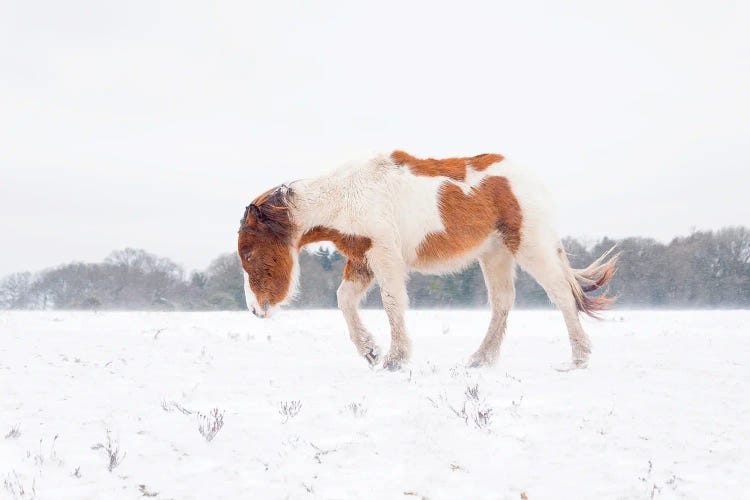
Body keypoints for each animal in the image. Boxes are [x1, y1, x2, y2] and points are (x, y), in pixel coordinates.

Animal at [238, 151, 620, 372]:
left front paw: (394, 359)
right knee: (502, 303)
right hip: (495, 255)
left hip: (531, 247)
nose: (255, 310)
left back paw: (579, 358)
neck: (347, 197)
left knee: (561, 295)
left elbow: (392, 304)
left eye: (249, 253)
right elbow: (344, 300)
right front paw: (370, 351)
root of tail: (533, 180)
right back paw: (480, 360)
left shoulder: (385, 257)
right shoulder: (362, 259)